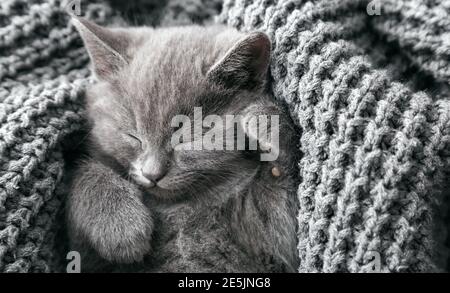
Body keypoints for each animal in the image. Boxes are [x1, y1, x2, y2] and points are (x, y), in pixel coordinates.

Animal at [66, 17, 298, 272]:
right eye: (133, 136)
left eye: (186, 138)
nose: (152, 174)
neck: (179, 208)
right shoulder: (90, 259)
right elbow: (85, 172)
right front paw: (121, 227)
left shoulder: (265, 243)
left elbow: (282, 216)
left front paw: (265, 120)